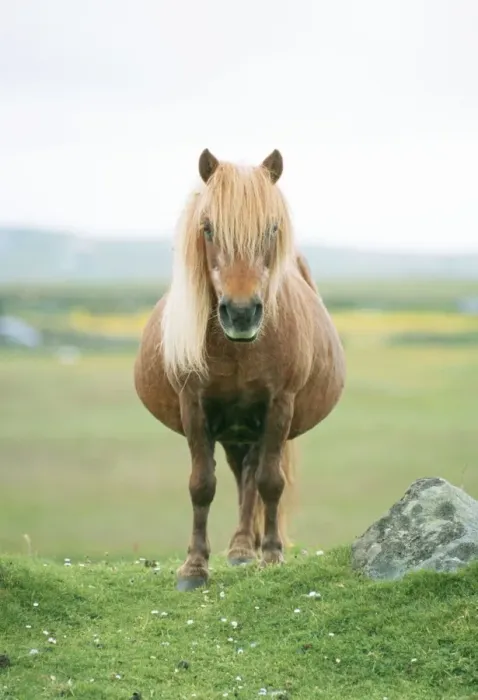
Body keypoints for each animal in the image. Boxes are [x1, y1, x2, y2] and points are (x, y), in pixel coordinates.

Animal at [134, 148, 346, 591]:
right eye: (208, 228)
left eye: (272, 228)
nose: (242, 313)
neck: (238, 349)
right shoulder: (194, 407)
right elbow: (202, 485)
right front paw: (194, 567)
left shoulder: (279, 406)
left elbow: (270, 482)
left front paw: (272, 556)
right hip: (234, 431)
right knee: (238, 476)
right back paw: (240, 548)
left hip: (255, 428)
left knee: (254, 477)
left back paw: (249, 549)